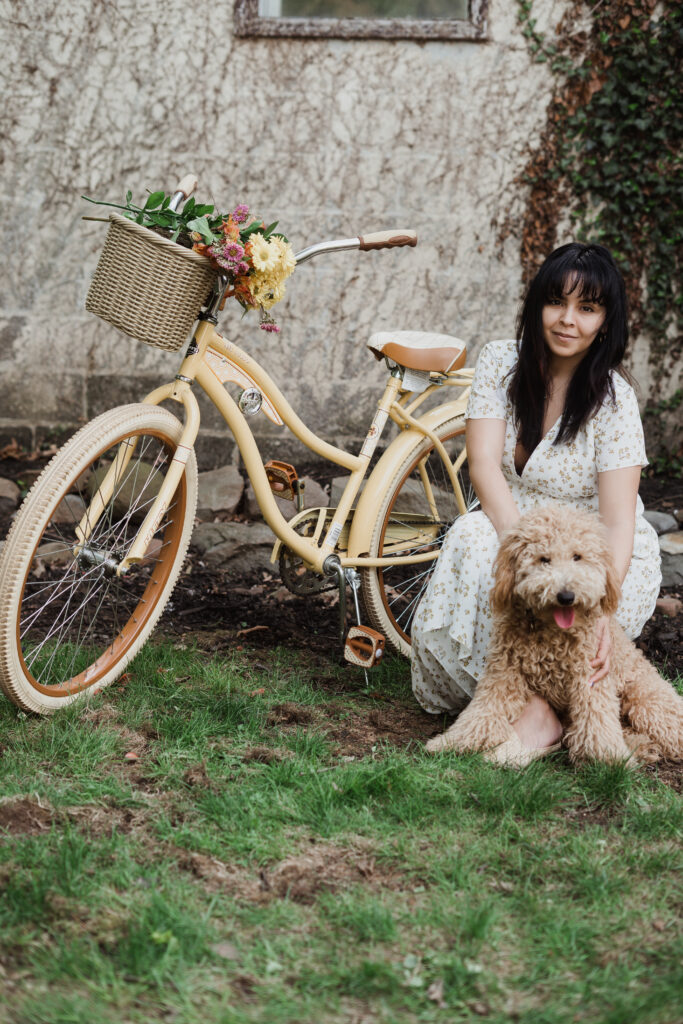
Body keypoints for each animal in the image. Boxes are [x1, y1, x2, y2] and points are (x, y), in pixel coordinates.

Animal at [428, 507, 683, 765]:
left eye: (577, 557)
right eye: (543, 559)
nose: (566, 596)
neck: (551, 633)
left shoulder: (589, 676)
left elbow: (596, 719)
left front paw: (607, 757)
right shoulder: (502, 675)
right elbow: (482, 713)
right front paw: (449, 742)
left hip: (647, 701)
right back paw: (643, 747)